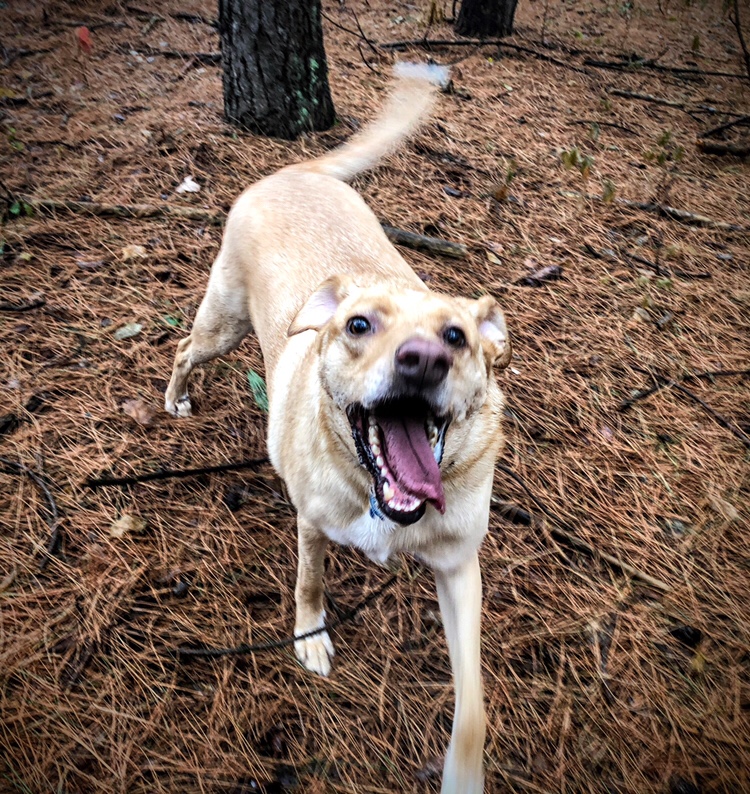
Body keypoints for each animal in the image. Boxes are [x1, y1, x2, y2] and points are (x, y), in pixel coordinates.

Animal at [165, 63, 510, 794]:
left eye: (457, 337)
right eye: (358, 325)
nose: (423, 360)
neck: (383, 502)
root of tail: (295, 170)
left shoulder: (460, 568)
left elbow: (472, 708)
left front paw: (464, 772)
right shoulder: (313, 524)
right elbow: (309, 584)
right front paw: (310, 639)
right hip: (222, 323)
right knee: (184, 349)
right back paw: (175, 398)